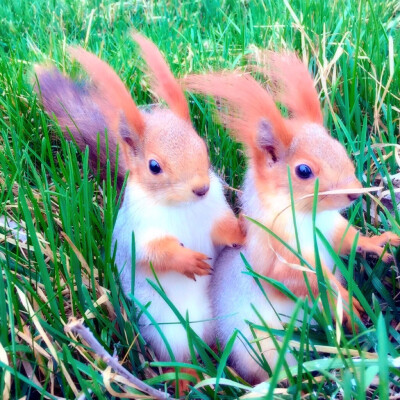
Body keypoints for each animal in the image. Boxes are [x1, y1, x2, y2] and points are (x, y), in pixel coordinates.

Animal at [35, 34, 247, 390]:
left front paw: (243, 229)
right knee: (180, 359)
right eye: (154, 166)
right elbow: (153, 253)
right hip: (168, 333)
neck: (183, 207)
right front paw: (187, 261)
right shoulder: (136, 231)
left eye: (202, 146)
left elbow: (222, 230)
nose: (201, 189)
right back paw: (187, 381)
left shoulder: (213, 212)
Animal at [184, 51, 400, 382]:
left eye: (339, 148)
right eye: (304, 171)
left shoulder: (332, 228)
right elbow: (298, 278)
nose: (355, 194)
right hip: (259, 346)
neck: (310, 217)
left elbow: (348, 239)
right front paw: (345, 299)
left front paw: (378, 243)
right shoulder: (276, 253)